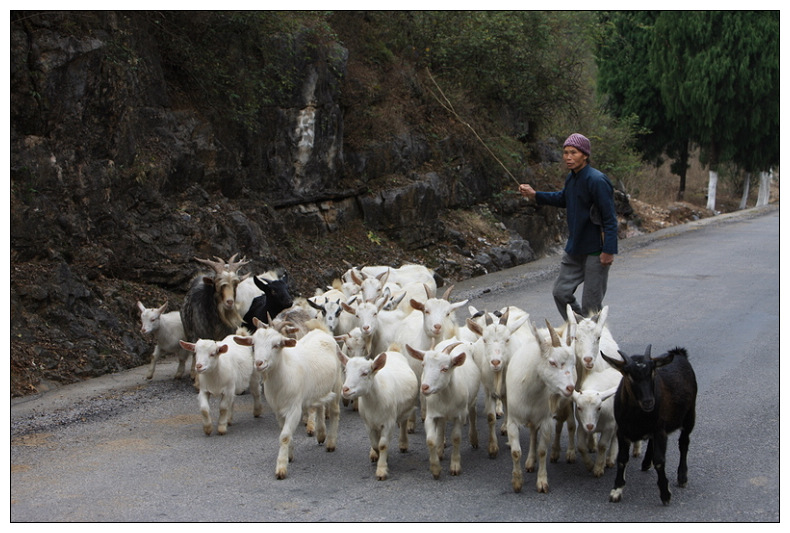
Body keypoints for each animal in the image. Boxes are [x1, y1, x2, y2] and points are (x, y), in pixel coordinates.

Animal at [237, 316, 344, 478]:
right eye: (253, 344)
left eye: (276, 345)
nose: (259, 363)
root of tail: (322, 331)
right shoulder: (278, 410)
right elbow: (285, 432)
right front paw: (289, 456)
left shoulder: (294, 408)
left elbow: (285, 436)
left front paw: (281, 468)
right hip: (318, 389)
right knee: (319, 406)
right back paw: (320, 434)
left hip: (336, 384)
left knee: (335, 411)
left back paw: (331, 442)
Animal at [338, 348, 420, 480]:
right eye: (346, 371)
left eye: (365, 373)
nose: (345, 390)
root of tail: (392, 351)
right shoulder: (368, 424)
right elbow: (375, 443)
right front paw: (379, 456)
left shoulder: (389, 423)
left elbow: (382, 445)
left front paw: (381, 470)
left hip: (404, 409)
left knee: (403, 423)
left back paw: (403, 444)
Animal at [408, 338, 482, 480]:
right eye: (423, 365)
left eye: (445, 369)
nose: (424, 387)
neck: (446, 397)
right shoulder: (431, 415)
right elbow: (430, 440)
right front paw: (436, 469)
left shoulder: (460, 416)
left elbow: (456, 438)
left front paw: (455, 467)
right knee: (442, 425)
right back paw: (440, 449)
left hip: (472, 400)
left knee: (472, 413)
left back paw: (474, 439)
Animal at [508, 318, 576, 492]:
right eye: (552, 362)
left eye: (573, 363)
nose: (570, 388)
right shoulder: (512, 420)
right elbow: (516, 452)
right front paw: (517, 482)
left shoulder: (546, 420)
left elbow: (542, 451)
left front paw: (542, 482)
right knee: (533, 431)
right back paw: (530, 462)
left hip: (566, 403)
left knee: (569, 424)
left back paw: (568, 452)